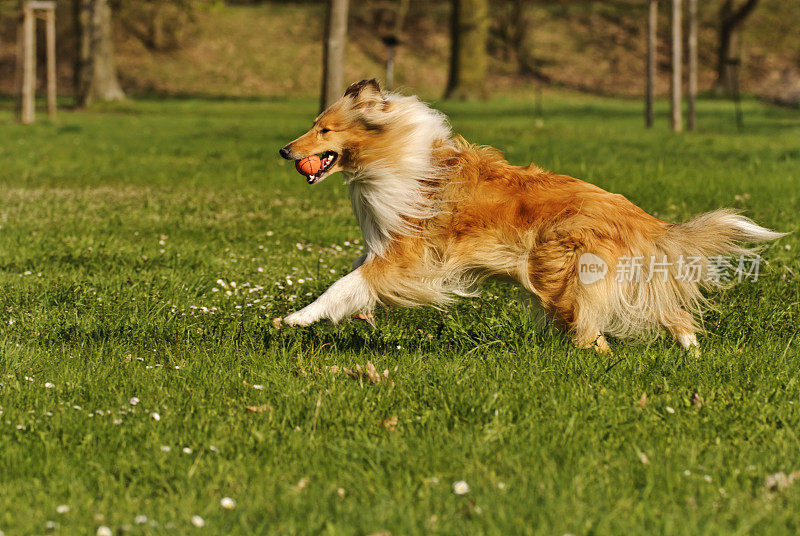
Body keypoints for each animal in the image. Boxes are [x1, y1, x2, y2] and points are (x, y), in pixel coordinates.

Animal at [280, 77, 780, 350]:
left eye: (324, 130)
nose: (284, 151)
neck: (393, 150)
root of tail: (640, 216)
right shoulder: (386, 247)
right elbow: (353, 276)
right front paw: (357, 316)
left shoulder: (407, 254)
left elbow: (346, 284)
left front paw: (296, 318)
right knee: (668, 315)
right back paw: (692, 354)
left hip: (561, 276)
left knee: (595, 333)